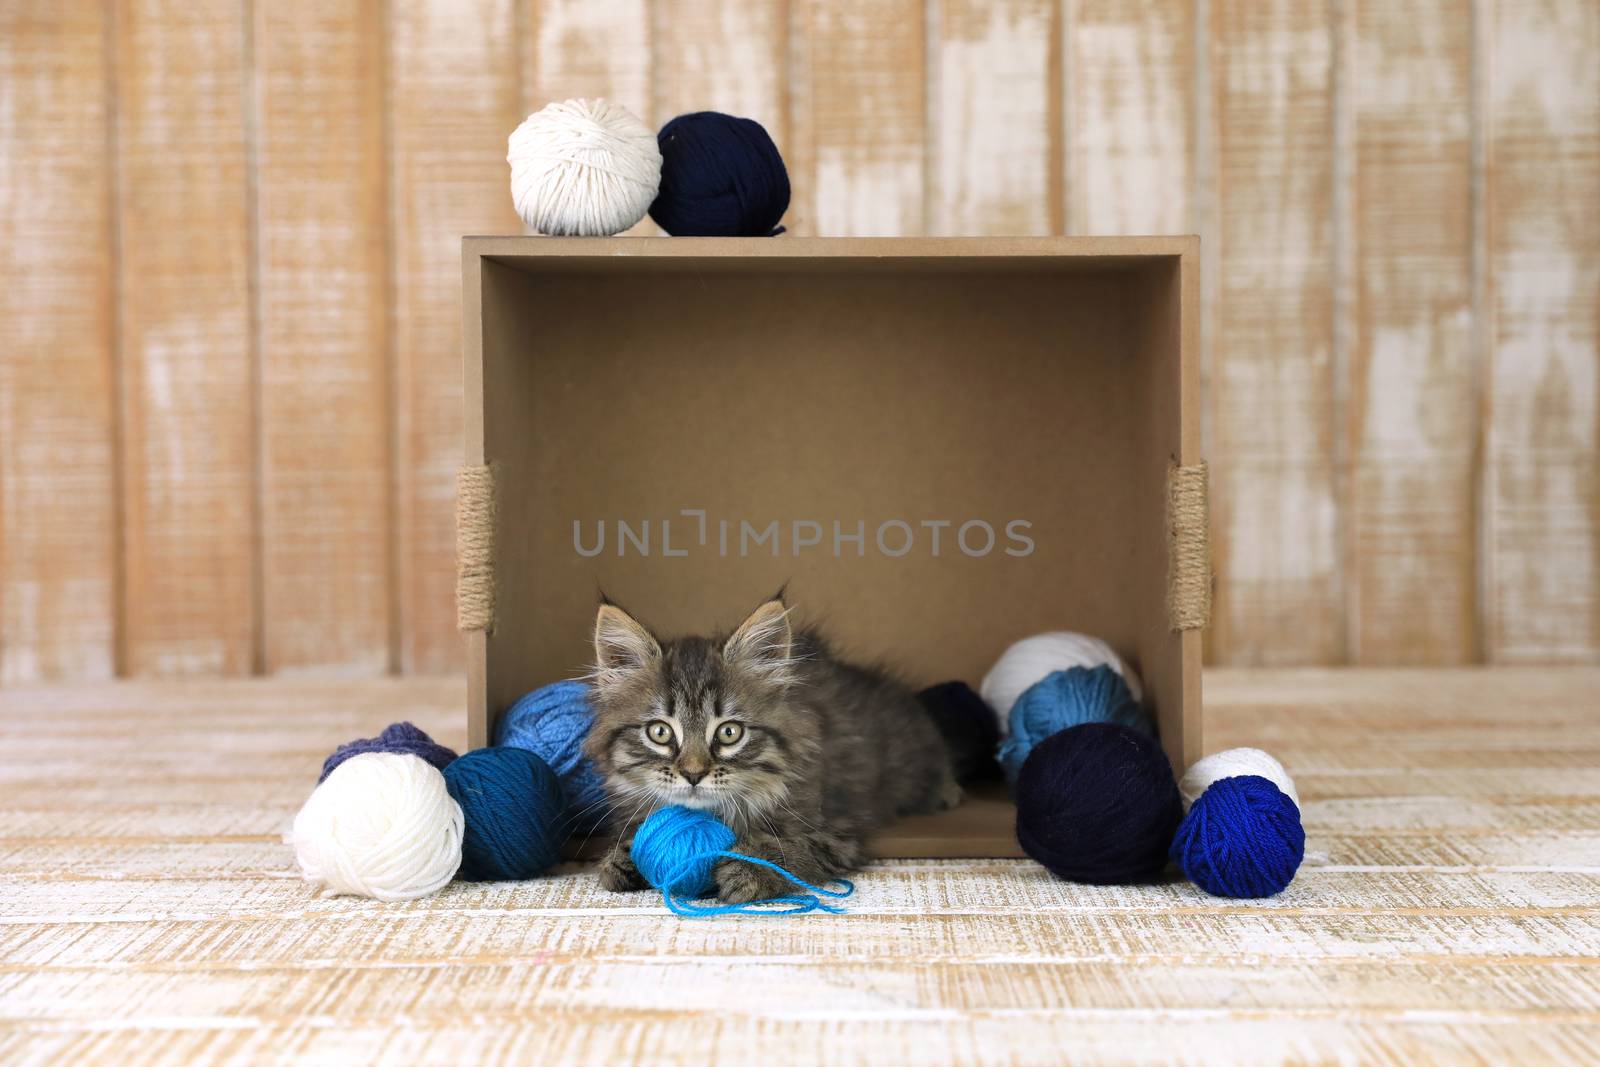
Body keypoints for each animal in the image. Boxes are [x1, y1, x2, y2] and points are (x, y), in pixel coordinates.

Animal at [585, 591, 960, 902]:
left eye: (729, 733)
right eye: (660, 732)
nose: (693, 774)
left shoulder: (837, 831)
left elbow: (793, 849)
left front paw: (750, 869)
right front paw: (621, 858)